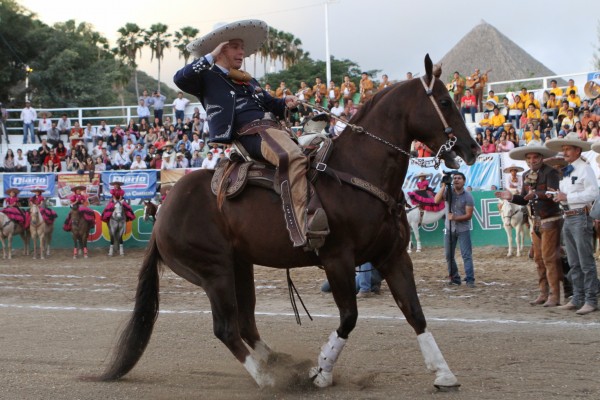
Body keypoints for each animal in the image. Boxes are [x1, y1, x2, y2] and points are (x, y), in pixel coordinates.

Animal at [97, 57, 482, 390]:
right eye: (444, 101)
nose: (472, 148)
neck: (357, 172)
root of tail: (162, 211)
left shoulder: (393, 256)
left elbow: (415, 313)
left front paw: (443, 373)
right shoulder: (338, 260)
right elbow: (349, 317)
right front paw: (321, 372)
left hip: (239, 266)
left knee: (246, 323)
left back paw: (275, 362)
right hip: (213, 272)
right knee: (226, 328)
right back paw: (268, 379)